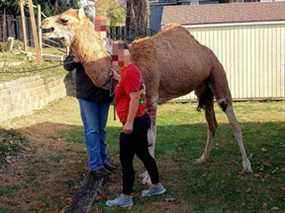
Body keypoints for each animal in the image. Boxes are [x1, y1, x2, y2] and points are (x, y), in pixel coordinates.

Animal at [41, 8, 252, 184]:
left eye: (64, 19)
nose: (44, 25)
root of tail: (207, 51)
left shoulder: (151, 96)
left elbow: (151, 134)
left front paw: (149, 178)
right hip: (203, 88)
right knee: (212, 123)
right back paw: (202, 159)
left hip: (218, 75)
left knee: (233, 120)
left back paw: (246, 166)